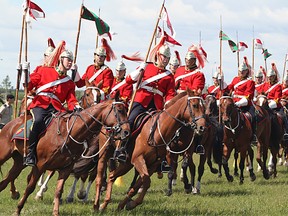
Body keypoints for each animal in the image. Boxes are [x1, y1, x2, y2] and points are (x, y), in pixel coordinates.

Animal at [0, 93, 129, 216]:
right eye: (120, 110)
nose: (127, 131)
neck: (68, 133)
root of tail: (10, 124)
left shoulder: (65, 168)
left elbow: (58, 191)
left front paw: (56, 211)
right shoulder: (40, 165)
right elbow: (30, 187)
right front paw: (18, 210)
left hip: (19, 162)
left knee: (6, 180)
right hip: (5, 156)